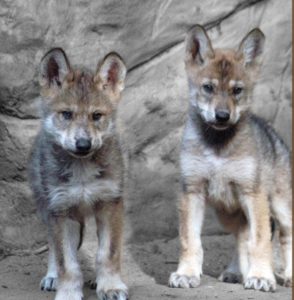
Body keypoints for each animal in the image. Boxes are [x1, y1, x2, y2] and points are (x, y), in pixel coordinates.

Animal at [28, 49, 127, 300]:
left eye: (96, 116)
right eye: (67, 114)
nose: (83, 144)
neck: (82, 171)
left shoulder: (110, 204)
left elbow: (107, 254)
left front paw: (110, 286)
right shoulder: (61, 211)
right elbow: (67, 263)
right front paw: (68, 293)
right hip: (46, 209)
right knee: (53, 247)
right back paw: (52, 277)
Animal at [169, 24, 292, 292]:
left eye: (237, 90)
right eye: (208, 88)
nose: (223, 116)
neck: (218, 148)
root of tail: (276, 136)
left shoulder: (253, 195)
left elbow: (261, 242)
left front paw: (262, 277)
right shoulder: (192, 191)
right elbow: (190, 241)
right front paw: (186, 273)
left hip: (282, 209)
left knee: (285, 238)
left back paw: (287, 275)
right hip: (228, 215)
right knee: (241, 237)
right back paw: (237, 272)